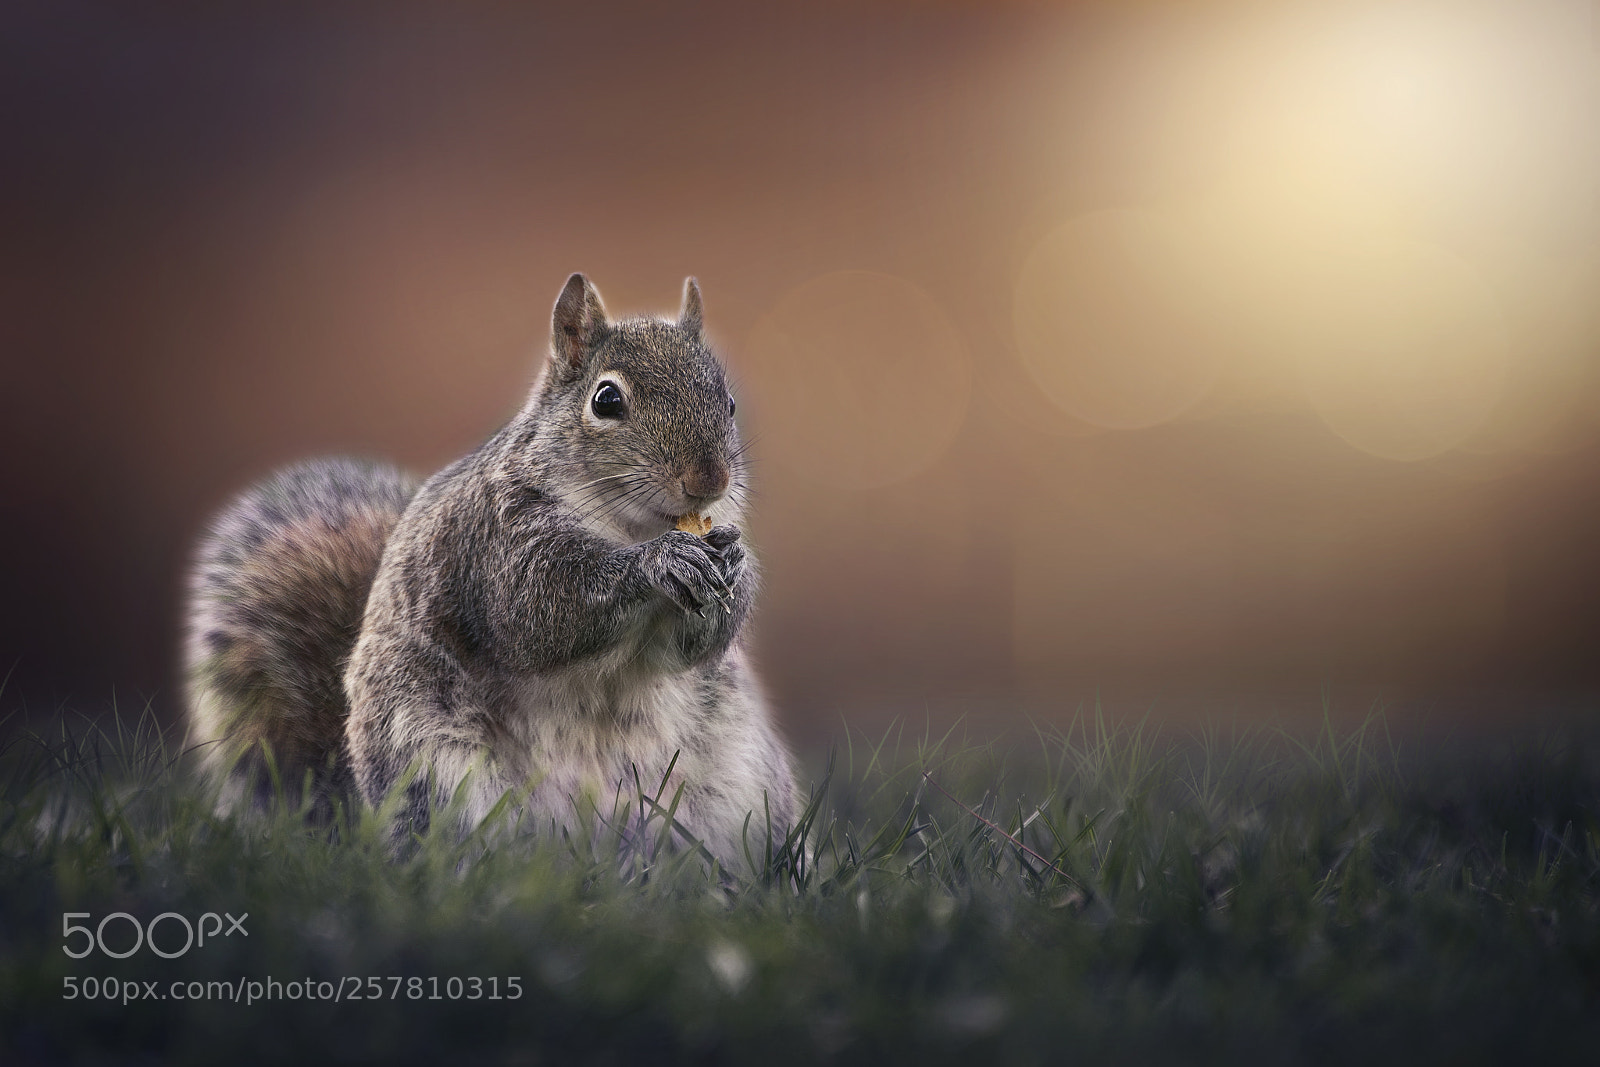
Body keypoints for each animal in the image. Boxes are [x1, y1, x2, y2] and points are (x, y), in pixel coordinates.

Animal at [183, 274, 799, 865]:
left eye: (729, 402)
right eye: (606, 400)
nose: (709, 479)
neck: (630, 526)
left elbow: (691, 648)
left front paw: (735, 565)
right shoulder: (495, 542)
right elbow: (539, 611)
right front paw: (659, 562)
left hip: (741, 780)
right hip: (434, 765)